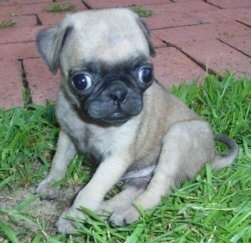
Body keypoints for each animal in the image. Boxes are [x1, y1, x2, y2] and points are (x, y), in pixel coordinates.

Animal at [34, 8, 237, 234]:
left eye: (146, 74)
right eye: (81, 81)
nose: (118, 92)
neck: (88, 121)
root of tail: (212, 157)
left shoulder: (115, 159)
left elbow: (90, 191)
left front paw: (73, 217)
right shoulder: (66, 136)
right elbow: (58, 162)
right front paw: (51, 183)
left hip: (179, 136)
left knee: (157, 190)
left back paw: (124, 212)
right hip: (139, 176)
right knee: (135, 190)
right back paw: (104, 211)